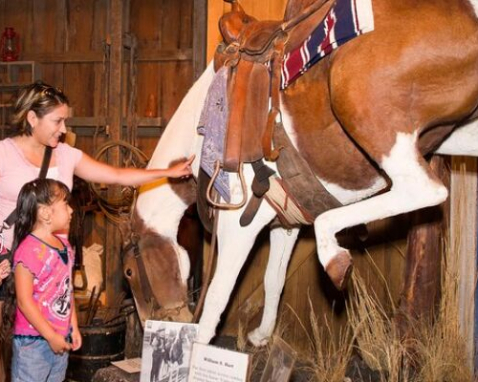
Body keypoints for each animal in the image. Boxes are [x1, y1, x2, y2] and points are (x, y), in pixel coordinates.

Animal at [125, 0, 478, 344]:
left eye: (129, 273)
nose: (152, 327)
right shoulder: (286, 220)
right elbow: (274, 279)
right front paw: (261, 336)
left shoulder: (238, 223)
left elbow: (215, 303)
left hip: (358, 101)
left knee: (424, 190)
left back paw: (334, 256)